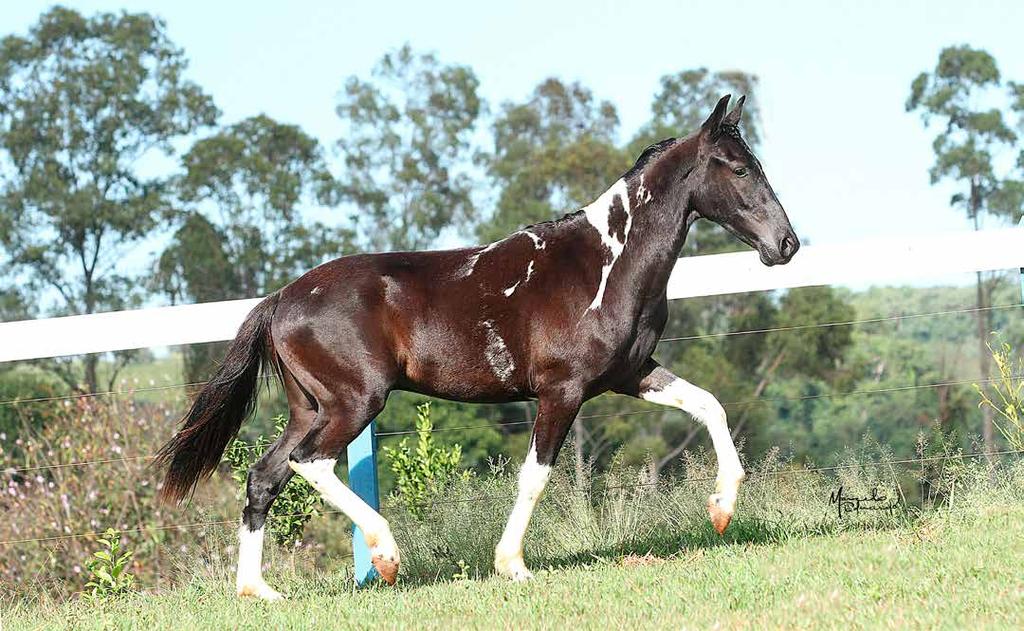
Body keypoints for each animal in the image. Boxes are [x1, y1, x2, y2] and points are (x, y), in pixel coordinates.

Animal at [157, 94, 798, 602]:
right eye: (739, 169)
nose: (786, 244)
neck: (604, 263)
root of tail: (282, 298)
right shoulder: (562, 391)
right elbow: (535, 476)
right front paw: (511, 565)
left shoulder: (632, 373)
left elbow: (710, 405)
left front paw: (722, 510)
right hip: (353, 403)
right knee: (309, 463)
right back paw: (386, 557)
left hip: (309, 408)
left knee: (265, 476)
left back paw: (259, 591)